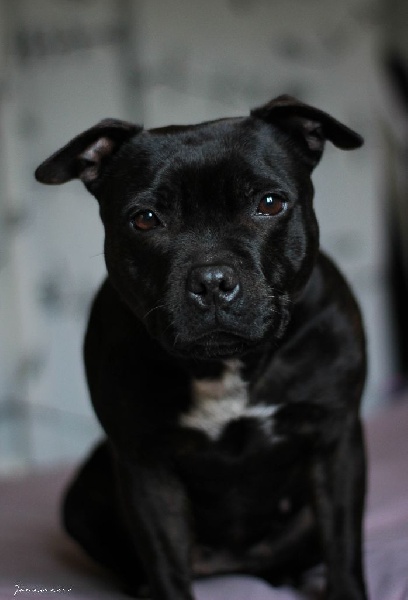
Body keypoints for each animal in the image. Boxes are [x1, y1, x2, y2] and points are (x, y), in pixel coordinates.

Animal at [35, 95, 368, 600]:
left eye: (269, 203)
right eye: (145, 219)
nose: (212, 280)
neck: (226, 365)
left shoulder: (336, 439)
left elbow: (343, 546)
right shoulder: (145, 465)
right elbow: (167, 567)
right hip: (82, 496)